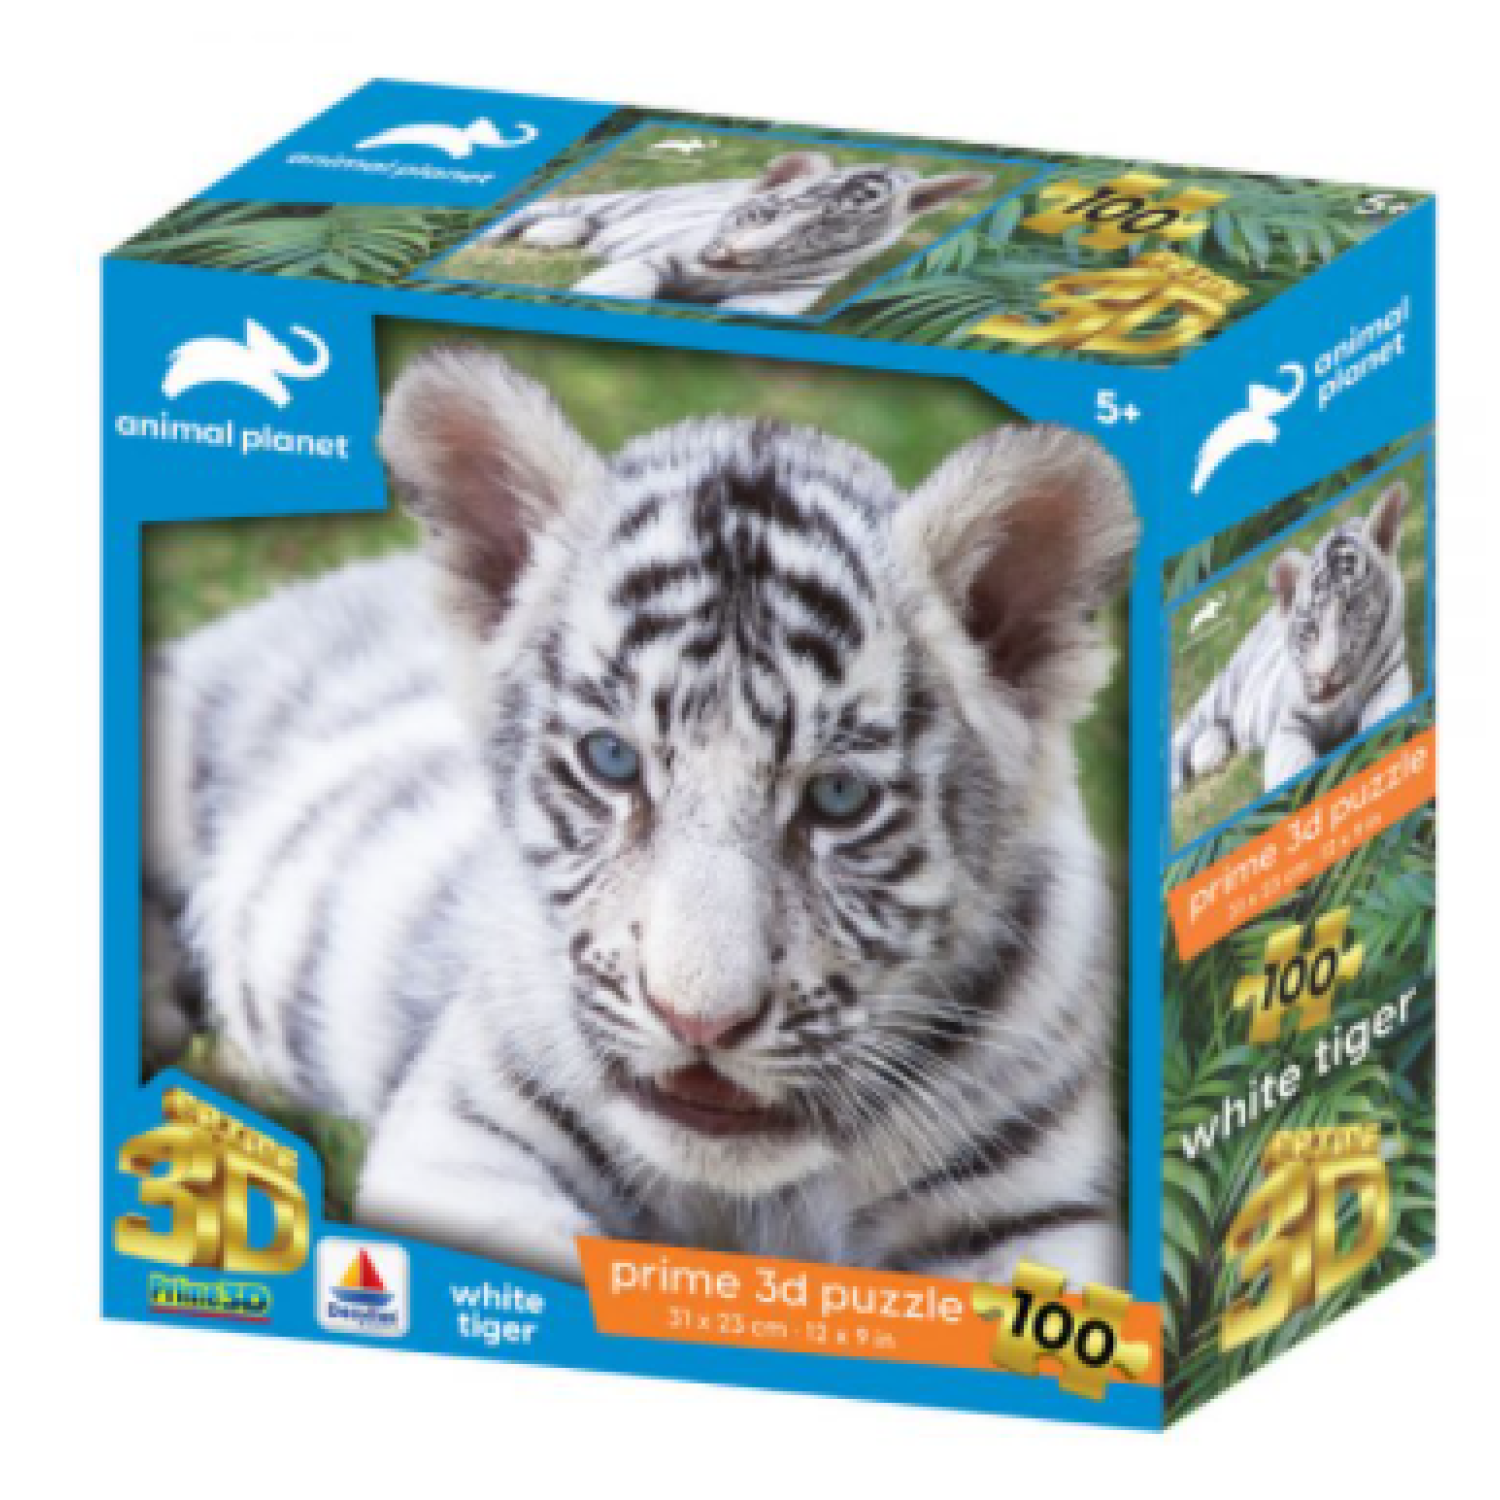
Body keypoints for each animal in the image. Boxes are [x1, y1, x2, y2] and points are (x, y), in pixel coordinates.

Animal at [484, 152, 991, 315]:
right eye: (764, 214)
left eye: (827, 228)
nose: (731, 257)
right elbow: (633, 276)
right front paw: (594, 293)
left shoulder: (774, 302)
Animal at [1171, 481, 1411, 800]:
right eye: (1310, 624)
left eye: (1351, 609)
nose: (1324, 675)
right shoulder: (1287, 722)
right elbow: (1291, 768)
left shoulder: (1389, 678)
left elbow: (1384, 723)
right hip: (1225, 687)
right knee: (1186, 729)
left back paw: (1207, 754)